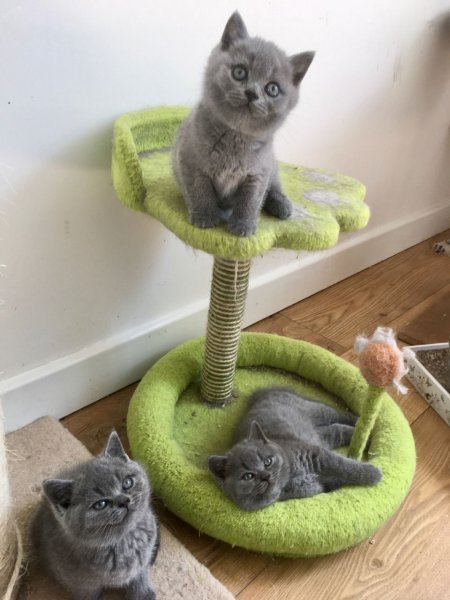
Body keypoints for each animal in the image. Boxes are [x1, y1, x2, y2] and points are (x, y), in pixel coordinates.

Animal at [32, 432, 158, 600]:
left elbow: (140, 574)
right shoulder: (79, 583)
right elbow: (88, 594)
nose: (124, 500)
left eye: (127, 483)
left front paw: (142, 594)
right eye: (100, 504)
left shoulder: (143, 561)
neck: (124, 540)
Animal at [112, 106, 370, 260]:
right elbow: (200, 192)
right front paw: (205, 217)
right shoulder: (191, 166)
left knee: (274, 190)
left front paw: (243, 225)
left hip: (272, 169)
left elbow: (250, 200)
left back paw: (282, 207)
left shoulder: (257, 175)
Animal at [209, 386, 382, 508]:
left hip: (318, 411)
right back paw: (367, 437)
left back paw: (367, 426)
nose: (265, 475)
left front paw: (373, 474)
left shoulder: (314, 453)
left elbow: (343, 465)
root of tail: (264, 394)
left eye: (268, 461)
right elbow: (334, 480)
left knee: (340, 415)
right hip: (319, 435)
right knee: (337, 430)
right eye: (248, 476)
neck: (290, 479)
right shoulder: (317, 486)